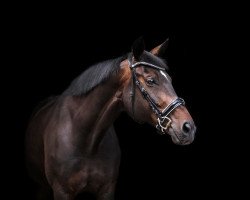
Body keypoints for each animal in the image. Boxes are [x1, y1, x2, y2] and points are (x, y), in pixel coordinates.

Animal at [25, 38, 197, 200]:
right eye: (151, 80)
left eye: (170, 79)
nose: (189, 128)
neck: (86, 141)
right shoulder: (62, 191)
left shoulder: (107, 190)